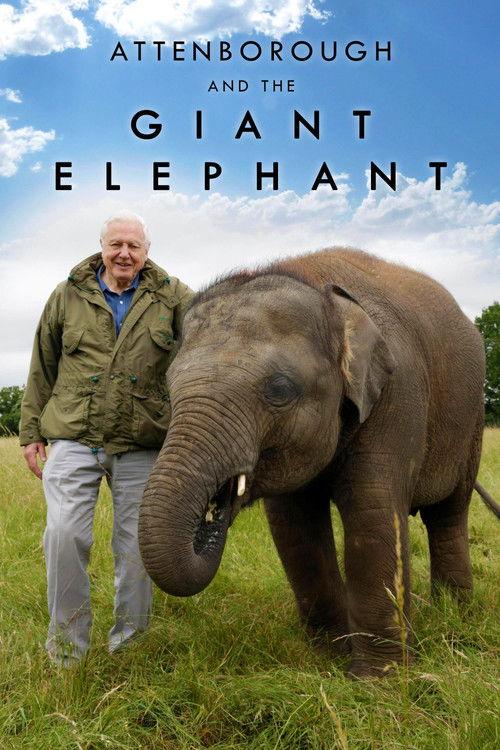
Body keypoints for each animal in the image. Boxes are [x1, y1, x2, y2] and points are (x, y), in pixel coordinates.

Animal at [138, 247, 487, 677]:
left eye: (280, 389)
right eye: (170, 390)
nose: (214, 511)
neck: (319, 288)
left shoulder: (398, 391)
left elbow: (372, 507)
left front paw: (379, 679)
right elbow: (294, 523)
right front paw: (328, 658)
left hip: (471, 422)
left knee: (449, 513)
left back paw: (454, 614)